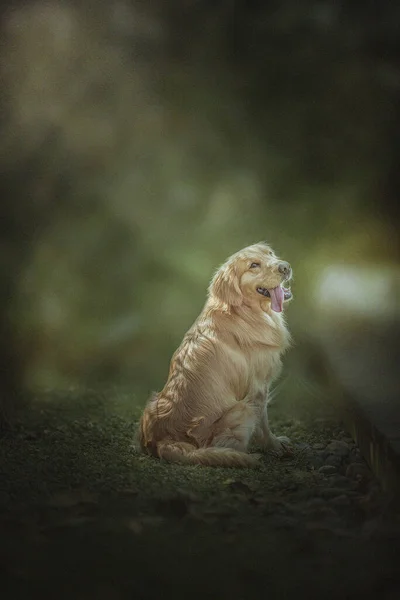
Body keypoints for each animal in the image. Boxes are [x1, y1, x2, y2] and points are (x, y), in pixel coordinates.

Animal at [138, 241, 294, 466]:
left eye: (270, 253)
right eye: (253, 265)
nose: (285, 267)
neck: (245, 312)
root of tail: (162, 442)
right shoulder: (258, 389)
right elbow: (263, 424)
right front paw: (274, 445)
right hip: (242, 409)